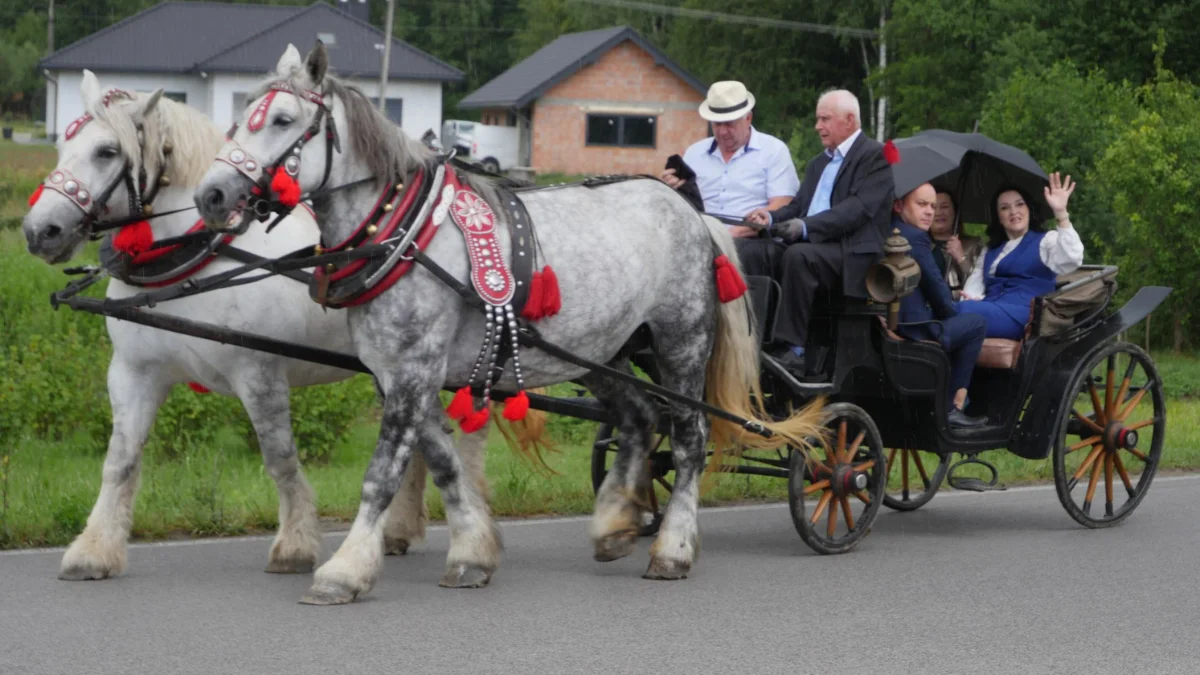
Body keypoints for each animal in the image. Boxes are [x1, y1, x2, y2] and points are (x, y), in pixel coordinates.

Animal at [194, 43, 825, 605]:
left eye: (282, 120)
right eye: (240, 118)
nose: (211, 194)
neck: (408, 237)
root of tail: (692, 211)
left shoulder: (414, 371)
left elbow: (383, 474)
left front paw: (343, 572)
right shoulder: (398, 374)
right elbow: (444, 464)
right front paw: (472, 554)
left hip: (681, 340)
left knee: (690, 439)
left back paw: (672, 548)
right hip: (603, 351)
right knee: (640, 418)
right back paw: (616, 524)